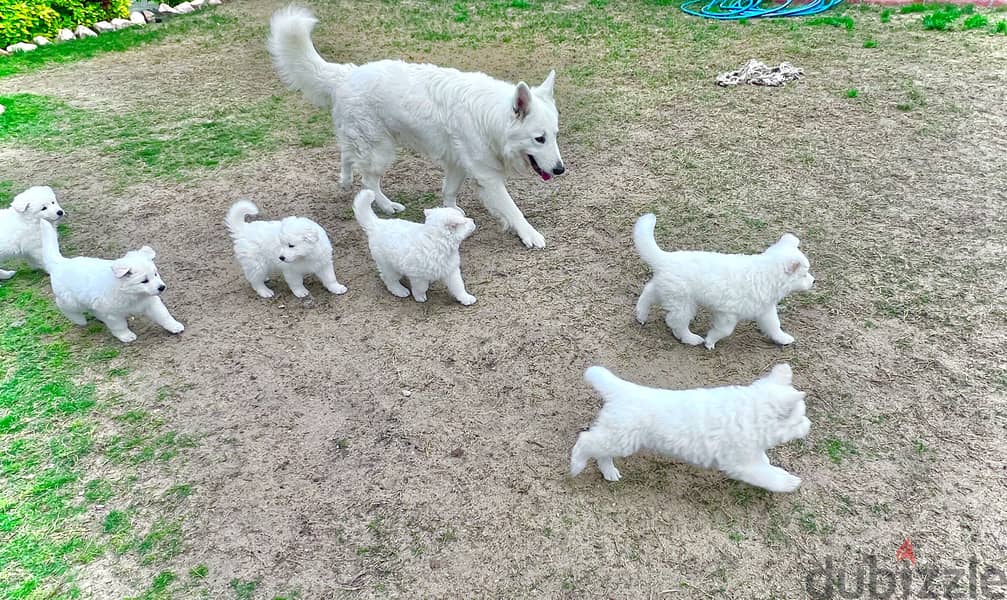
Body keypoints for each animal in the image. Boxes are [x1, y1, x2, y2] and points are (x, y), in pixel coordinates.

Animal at [38, 219, 185, 342]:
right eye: (144, 281)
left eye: (155, 274)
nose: (162, 287)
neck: (132, 293)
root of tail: (60, 263)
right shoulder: (112, 314)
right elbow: (119, 326)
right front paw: (126, 336)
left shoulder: (151, 303)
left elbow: (164, 315)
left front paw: (174, 326)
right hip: (70, 301)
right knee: (62, 305)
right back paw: (79, 320)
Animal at [267, 5, 567, 248]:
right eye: (539, 139)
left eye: (555, 136)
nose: (560, 170)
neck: (490, 118)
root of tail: (347, 73)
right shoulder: (488, 176)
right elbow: (513, 209)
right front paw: (529, 234)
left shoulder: (457, 163)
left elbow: (449, 192)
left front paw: (453, 214)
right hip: (380, 150)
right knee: (369, 180)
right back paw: (386, 205)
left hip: (364, 142)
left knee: (347, 155)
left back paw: (345, 180)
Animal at [571, 362, 813, 495]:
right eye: (800, 418)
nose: (809, 425)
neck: (752, 414)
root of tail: (623, 390)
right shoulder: (742, 464)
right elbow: (768, 476)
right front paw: (789, 482)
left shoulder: (749, 453)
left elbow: (765, 463)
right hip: (621, 439)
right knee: (586, 441)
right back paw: (576, 464)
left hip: (618, 437)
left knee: (601, 452)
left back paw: (609, 472)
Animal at [636, 213, 817, 348]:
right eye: (804, 274)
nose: (814, 281)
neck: (766, 274)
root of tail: (666, 259)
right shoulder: (727, 314)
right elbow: (724, 331)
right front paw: (710, 341)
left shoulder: (765, 310)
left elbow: (774, 325)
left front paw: (783, 338)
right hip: (682, 301)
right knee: (676, 321)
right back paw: (690, 338)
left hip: (667, 290)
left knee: (648, 293)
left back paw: (640, 315)